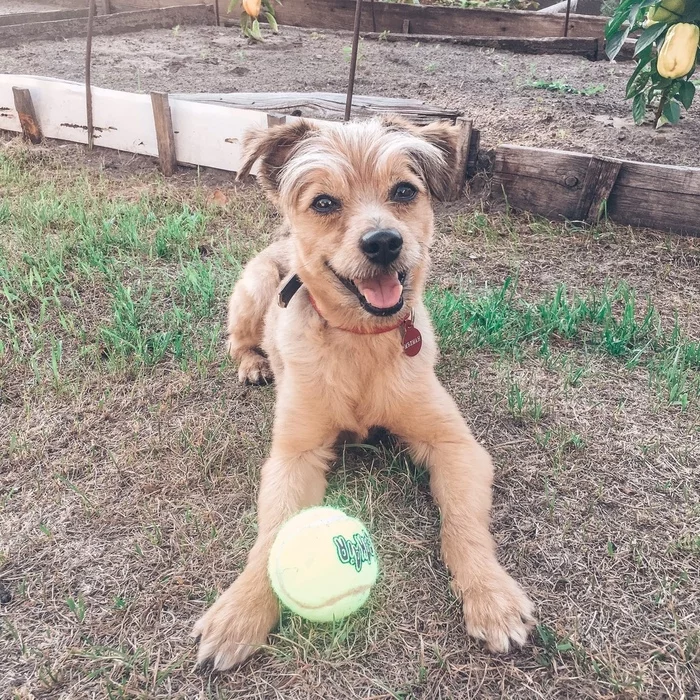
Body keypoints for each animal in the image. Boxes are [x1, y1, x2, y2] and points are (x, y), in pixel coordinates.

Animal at [193, 117, 536, 668]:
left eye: (404, 191)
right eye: (324, 202)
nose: (383, 242)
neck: (359, 342)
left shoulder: (455, 444)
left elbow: (463, 524)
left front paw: (491, 595)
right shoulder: (294, 453)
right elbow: (272, 534)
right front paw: (239, 611)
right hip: (253, 288)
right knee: (238, 339)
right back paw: (253, 364)